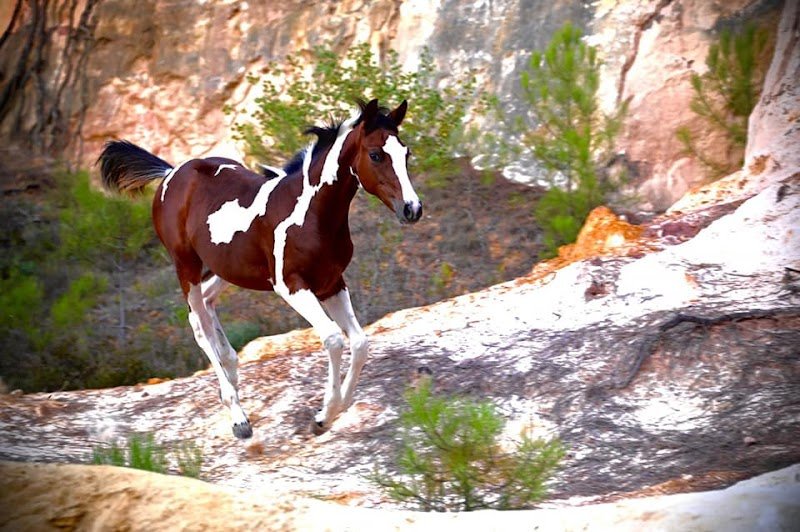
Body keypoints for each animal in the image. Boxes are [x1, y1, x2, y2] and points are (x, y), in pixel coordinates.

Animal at [98, 98, 422, 439]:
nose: (412, 209)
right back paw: (238, 416)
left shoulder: (332, 282)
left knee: (208, 304)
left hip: (227, 268)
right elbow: (334, 339)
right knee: (199, 324)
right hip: (185, 265)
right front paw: (323, 416)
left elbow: (360, 343)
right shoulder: (291, 286)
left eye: (406, 153)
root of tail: (171, 172)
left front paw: (334, 410)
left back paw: (231, 372)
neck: (312, 213)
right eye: (376, 155)